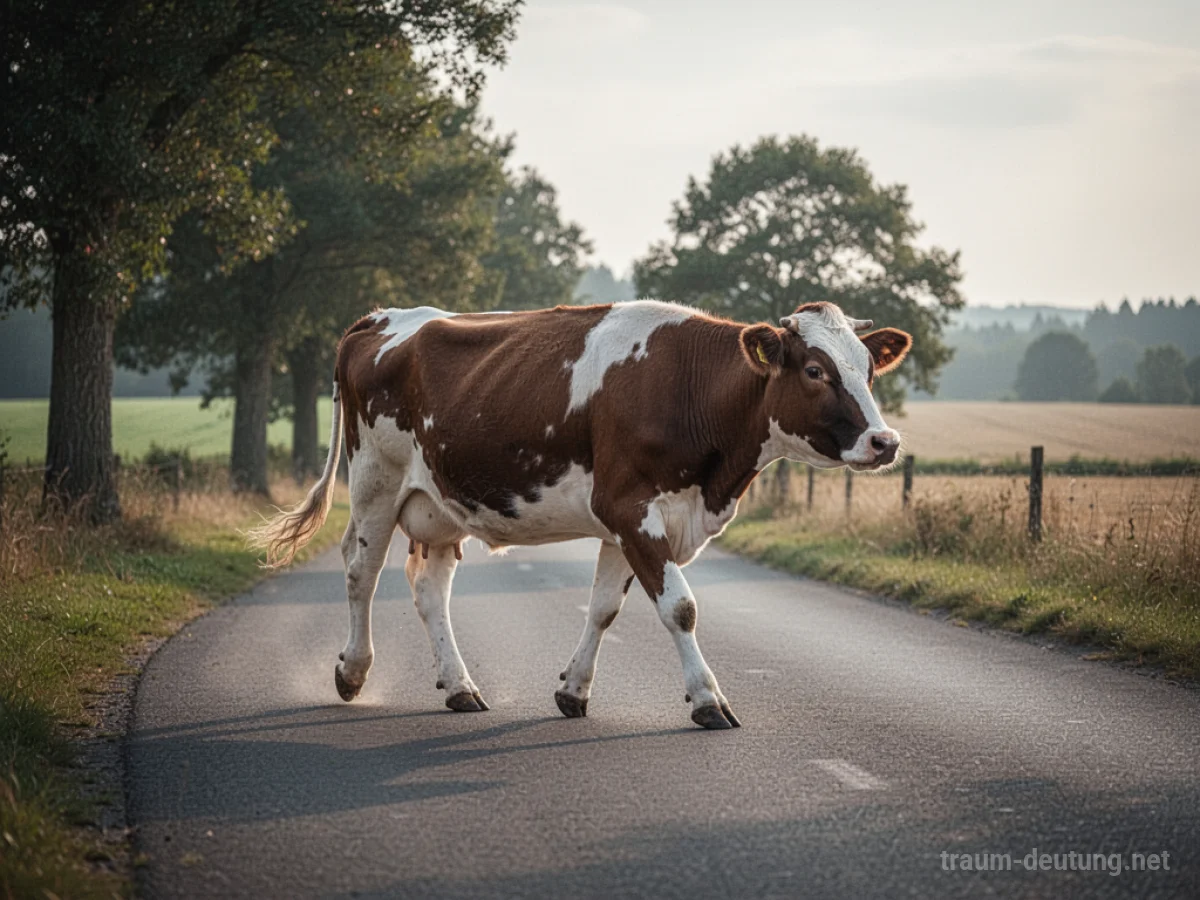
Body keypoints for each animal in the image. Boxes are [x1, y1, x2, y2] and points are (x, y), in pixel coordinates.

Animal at [250, 300, 911, 729]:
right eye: (816, 370)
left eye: (868, 369)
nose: (885, 442)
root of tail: (381, 317)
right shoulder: (630, 507)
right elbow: (681, 607)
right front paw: (707, 700)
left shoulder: (629, 523)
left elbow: (603, 608)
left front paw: (573, 691)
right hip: (375, 482)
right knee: (360, 573)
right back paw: (352, 673)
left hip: (439, 503)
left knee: (428, 588)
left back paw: (461, 687)